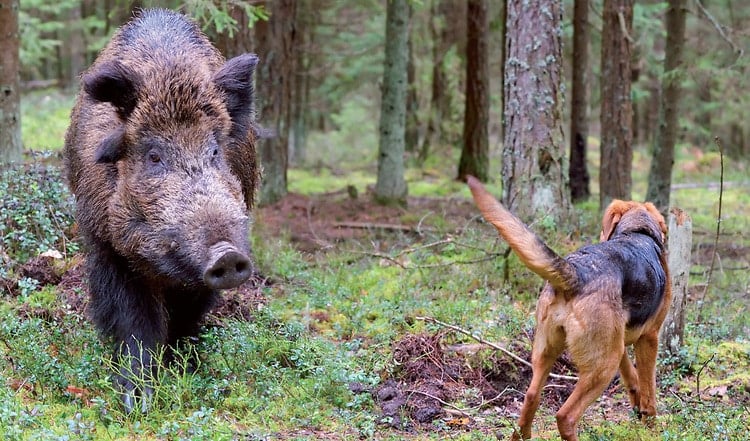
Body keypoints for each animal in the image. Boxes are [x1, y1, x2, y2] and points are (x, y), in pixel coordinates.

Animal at [468, 176, 672, 440]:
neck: (637, 232)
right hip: (602, 366)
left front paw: (637, 405)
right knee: (566, 416)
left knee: (531, 397)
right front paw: (650, 424)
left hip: (550, 351)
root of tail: (577, 272)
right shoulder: (649, 338)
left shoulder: (620, 341)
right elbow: (649, 387)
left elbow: (632, 377)